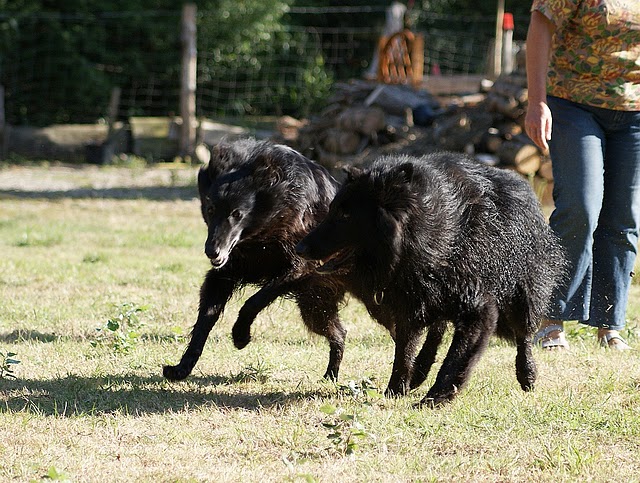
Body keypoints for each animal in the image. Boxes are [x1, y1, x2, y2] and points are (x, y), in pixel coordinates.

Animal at [162, 139, 348, 382]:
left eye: (237, 214)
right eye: (210, 209)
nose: (212, 251)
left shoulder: (298, 267)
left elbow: (254, 301)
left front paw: (240, 335)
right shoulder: (223, 275)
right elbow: (204, 321)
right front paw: (182, 367)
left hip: (315, 298)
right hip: (315, 305)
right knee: (339, 332)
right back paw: (330, 375)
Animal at [296, 153, 564, 406]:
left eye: (345, 215)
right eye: (333, 209)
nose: (299, 247)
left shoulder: (479, 309)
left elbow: (455, 358)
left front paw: (437, 397)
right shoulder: (407, 306)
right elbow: (403, 352)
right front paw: (396, 389)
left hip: (522, 297)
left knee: (524, 336)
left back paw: (527, 374)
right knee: (436, 331)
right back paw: (419, 372)